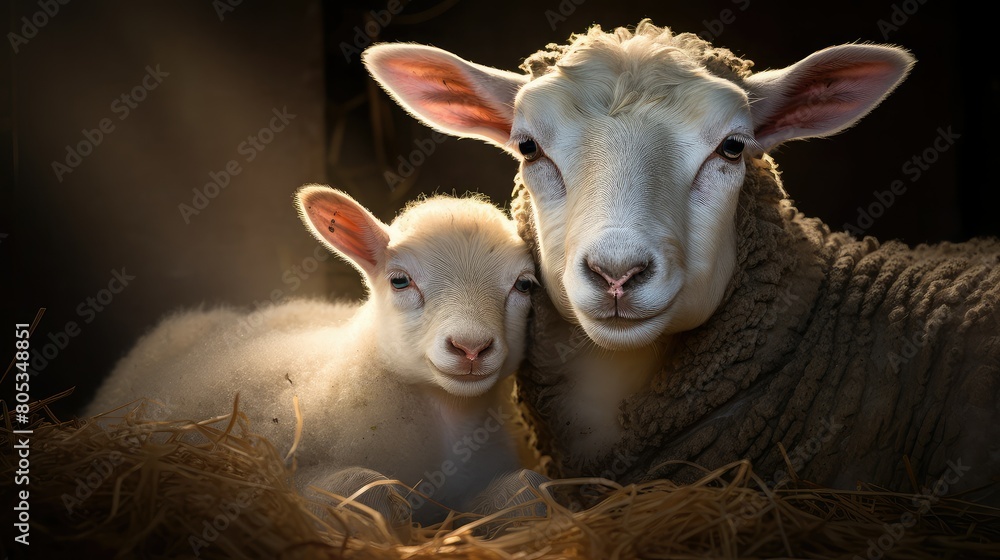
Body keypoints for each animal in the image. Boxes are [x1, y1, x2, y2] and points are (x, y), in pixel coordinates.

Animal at [85, 184, 539, 525]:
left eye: (525, 285)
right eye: (400, 280)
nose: (470, 347)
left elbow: (528, 489)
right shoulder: (288, 472)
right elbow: (368, 490)